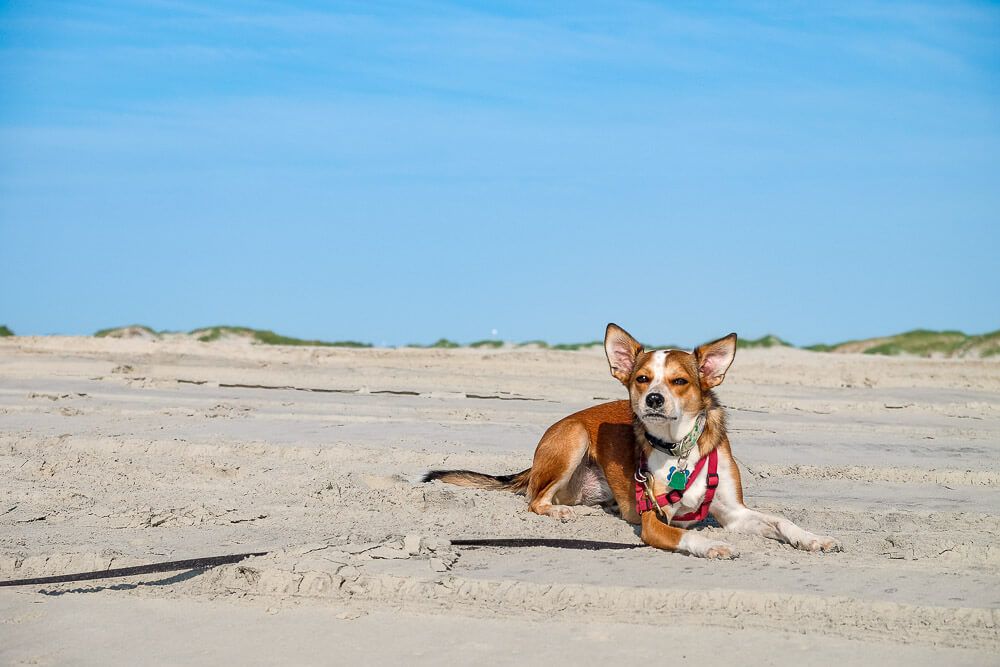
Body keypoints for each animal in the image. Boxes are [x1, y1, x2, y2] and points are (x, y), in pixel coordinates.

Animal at [424, 324, 844, 560]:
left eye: (680, 381)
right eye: (642, 379)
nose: (653, 399)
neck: (680, 449)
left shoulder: (733, 513)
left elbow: (782, 521)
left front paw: (814, 539)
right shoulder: (653, 522)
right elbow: (684, 534)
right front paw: (712, 546)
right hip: (574, 437)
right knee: (534, 499)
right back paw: (558, 514)